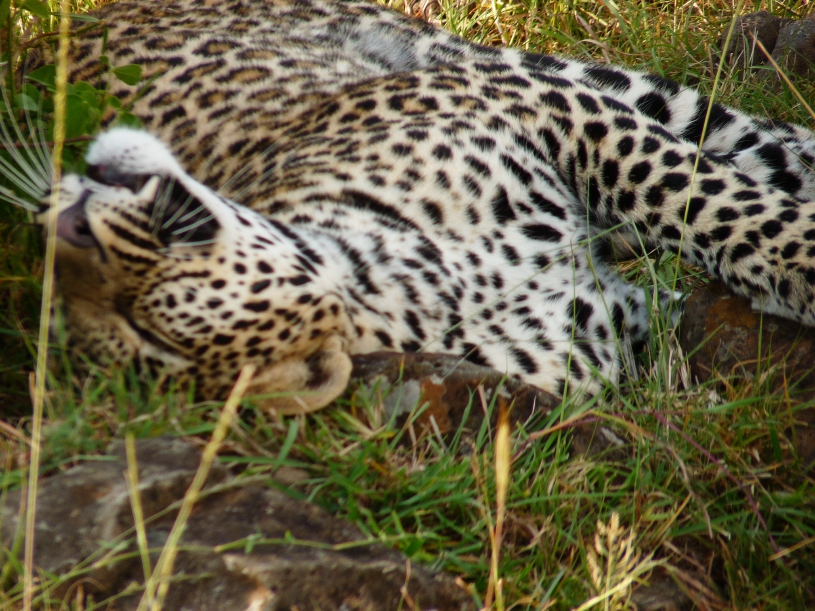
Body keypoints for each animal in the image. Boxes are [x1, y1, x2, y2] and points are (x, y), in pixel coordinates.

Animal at [35, 0, 815, 413]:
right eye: (146, 336)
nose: (66, 223)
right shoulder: (614, 333)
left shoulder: (560, 114)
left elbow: (702, 196)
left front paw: (800, 264)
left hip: (510, 65)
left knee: (748, 139)